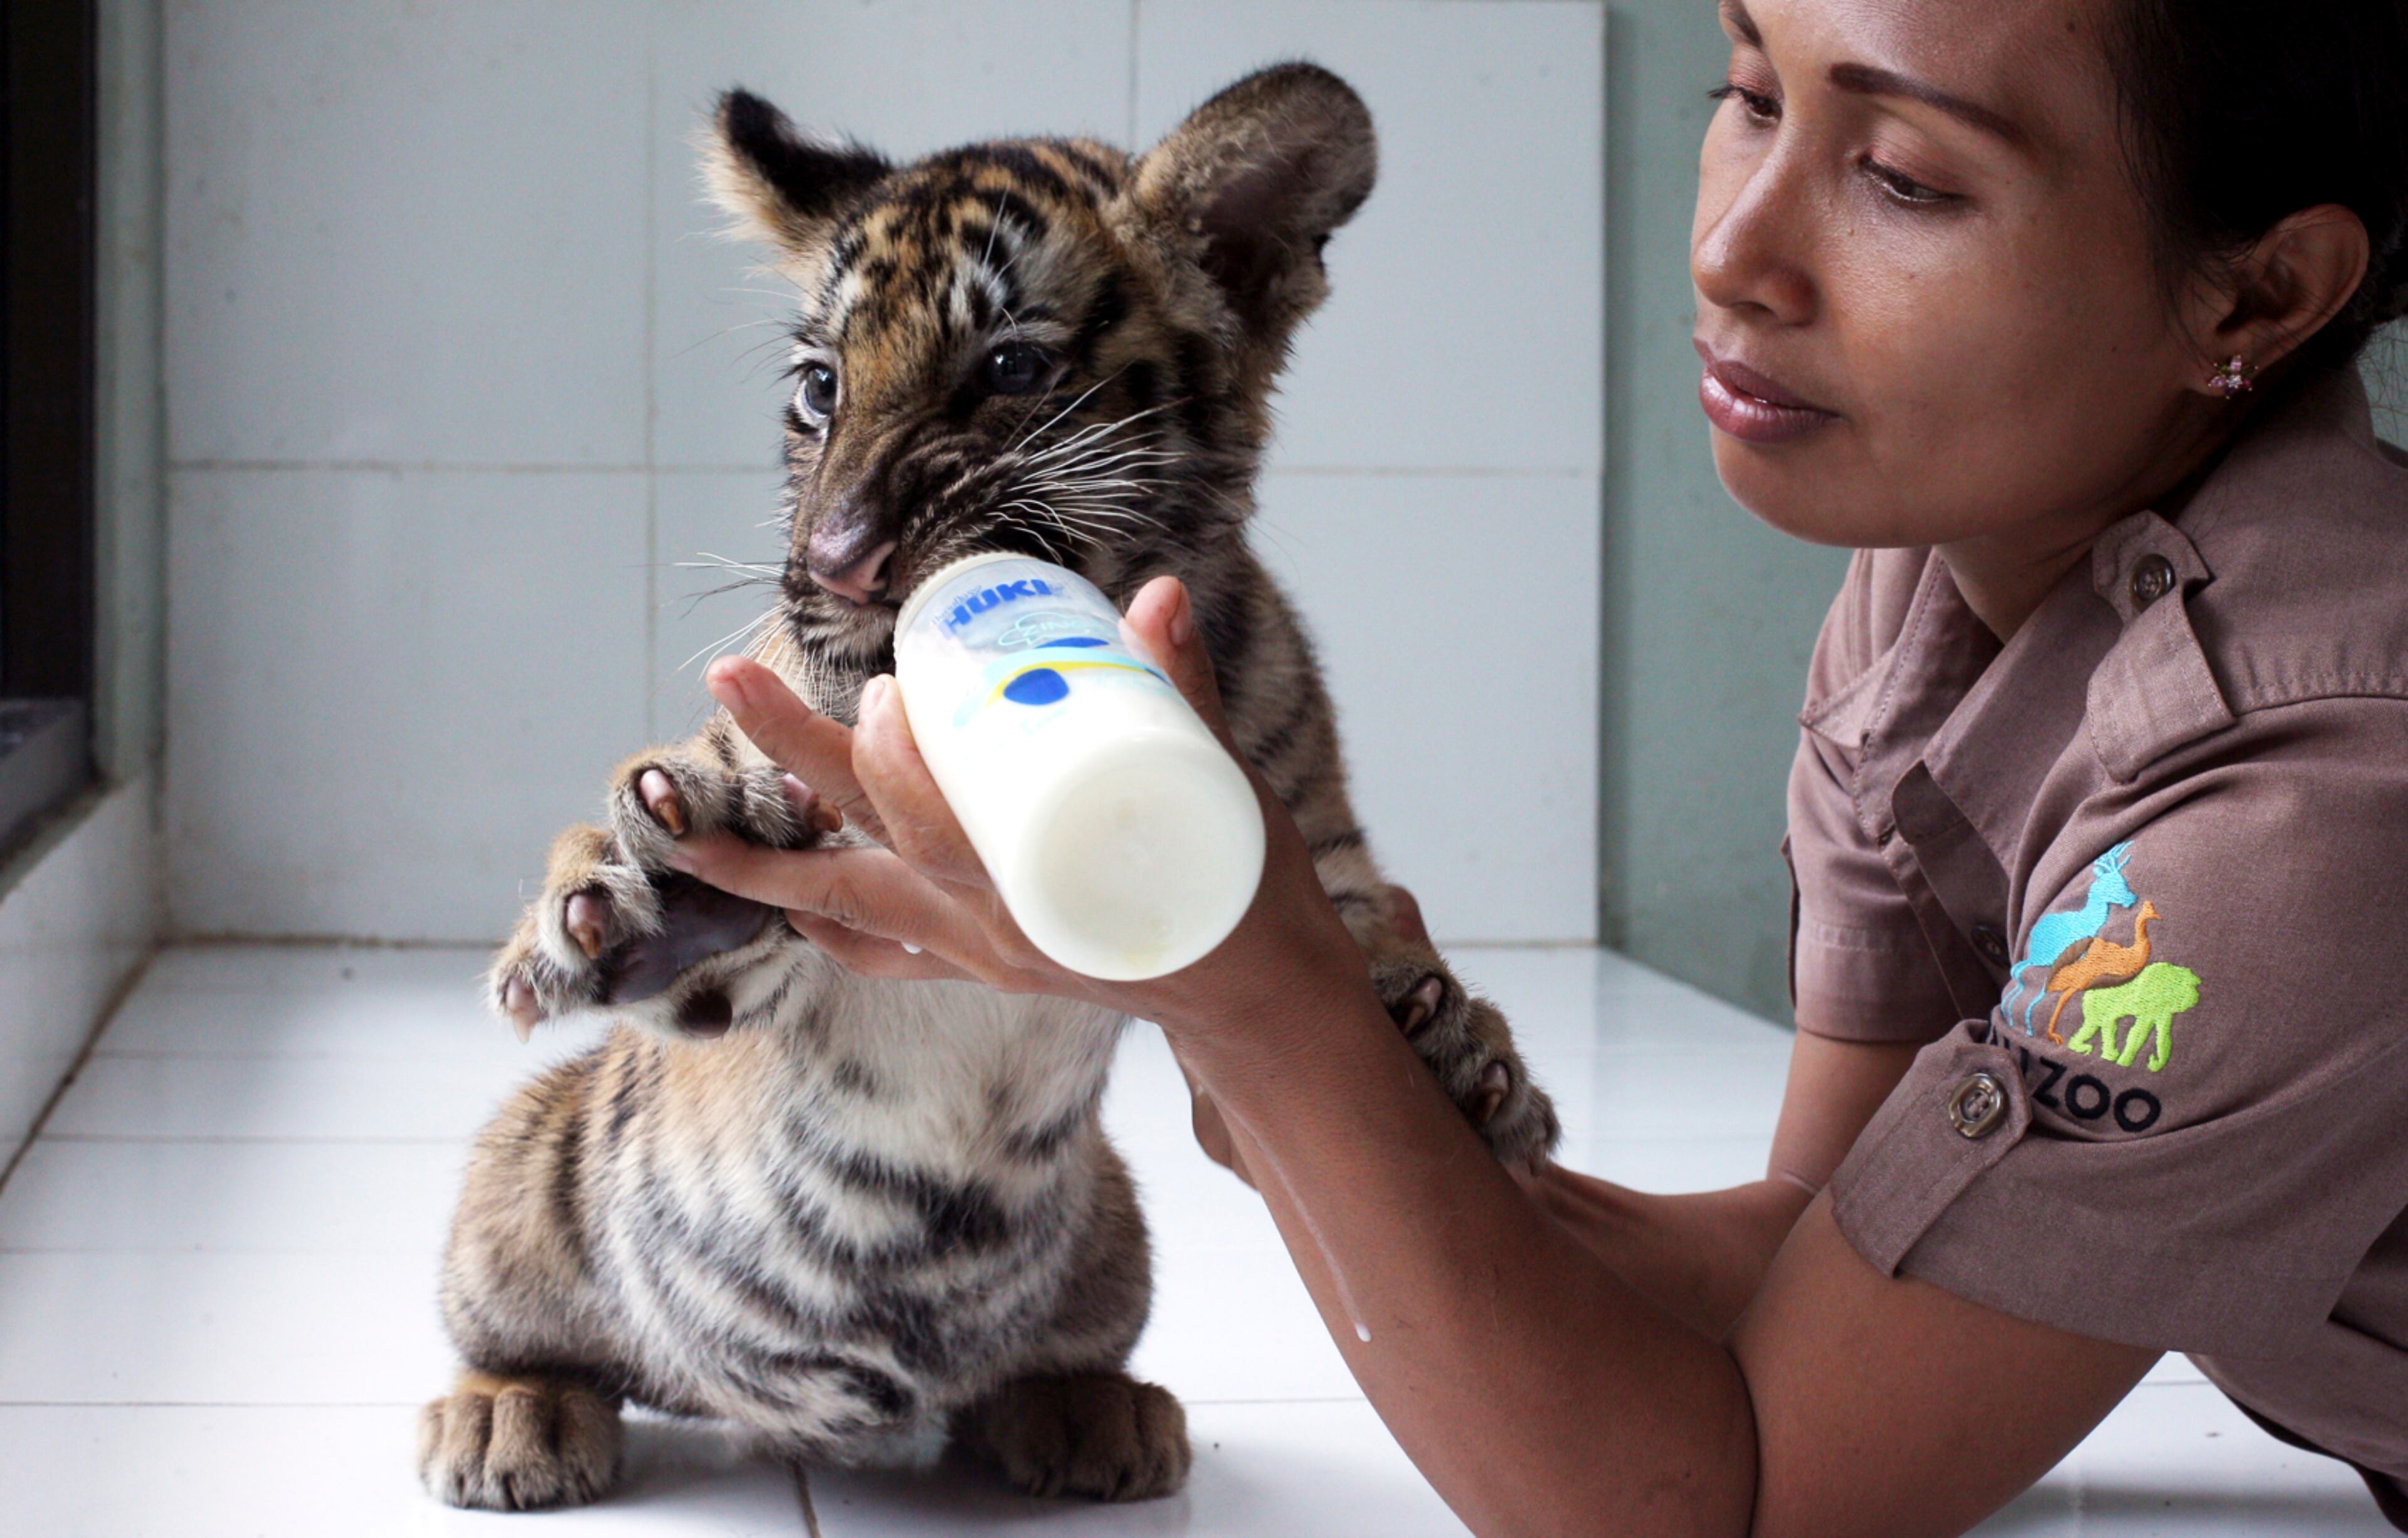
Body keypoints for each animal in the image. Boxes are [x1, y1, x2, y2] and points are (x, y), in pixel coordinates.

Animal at [417, 62, 1560, 1513]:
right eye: (820, 387)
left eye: (1011, 367)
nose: (836, 563)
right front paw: (660, 878)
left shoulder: (1314, 834)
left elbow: (1363, 928)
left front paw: (1460, 1054)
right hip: (524, 1172)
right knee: (524, 1331)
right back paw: (510, 1419)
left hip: (1115, 1228)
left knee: (1032, 1367)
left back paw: (1089, 1415)